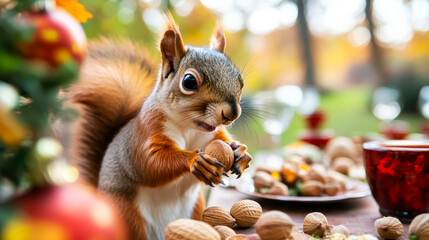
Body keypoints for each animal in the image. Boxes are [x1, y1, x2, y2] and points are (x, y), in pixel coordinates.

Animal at [66, 16, 251, 240]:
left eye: (240, 80)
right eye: (189, 81)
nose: (232, 113)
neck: (189, 128)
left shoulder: (213, 135)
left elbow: (224, 141)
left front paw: (240, 152)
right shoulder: (146, 131)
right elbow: (150, 163)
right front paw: (195, 161)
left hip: (195, 209)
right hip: (127, 216)